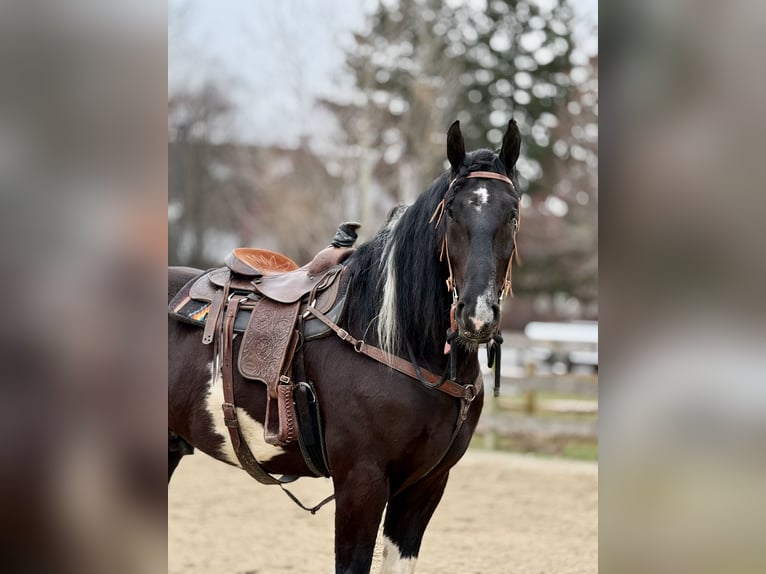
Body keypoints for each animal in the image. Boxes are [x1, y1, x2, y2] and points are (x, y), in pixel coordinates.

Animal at [168, 118, 522, 573]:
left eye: (512, 214)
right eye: (452, 213)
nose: (476, 315)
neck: (396, 344)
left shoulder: (426, 486)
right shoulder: (361, 482)